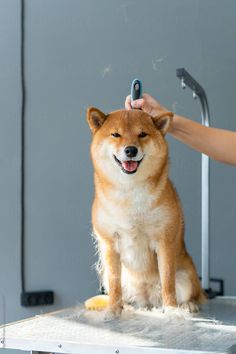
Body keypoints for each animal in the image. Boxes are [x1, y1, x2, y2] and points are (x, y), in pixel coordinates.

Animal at [86, 108, 205, 318]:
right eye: (115, 134)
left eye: (142, 134)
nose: (131, 150)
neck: (130, 192)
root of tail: (148, 298)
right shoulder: (109, 243)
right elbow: (115, 285)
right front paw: (113, 310)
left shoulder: (164, 240)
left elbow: (167, 281)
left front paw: (171, 309)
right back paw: (129, 307)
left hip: (185, 277)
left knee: (192, 294)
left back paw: (187, 305)